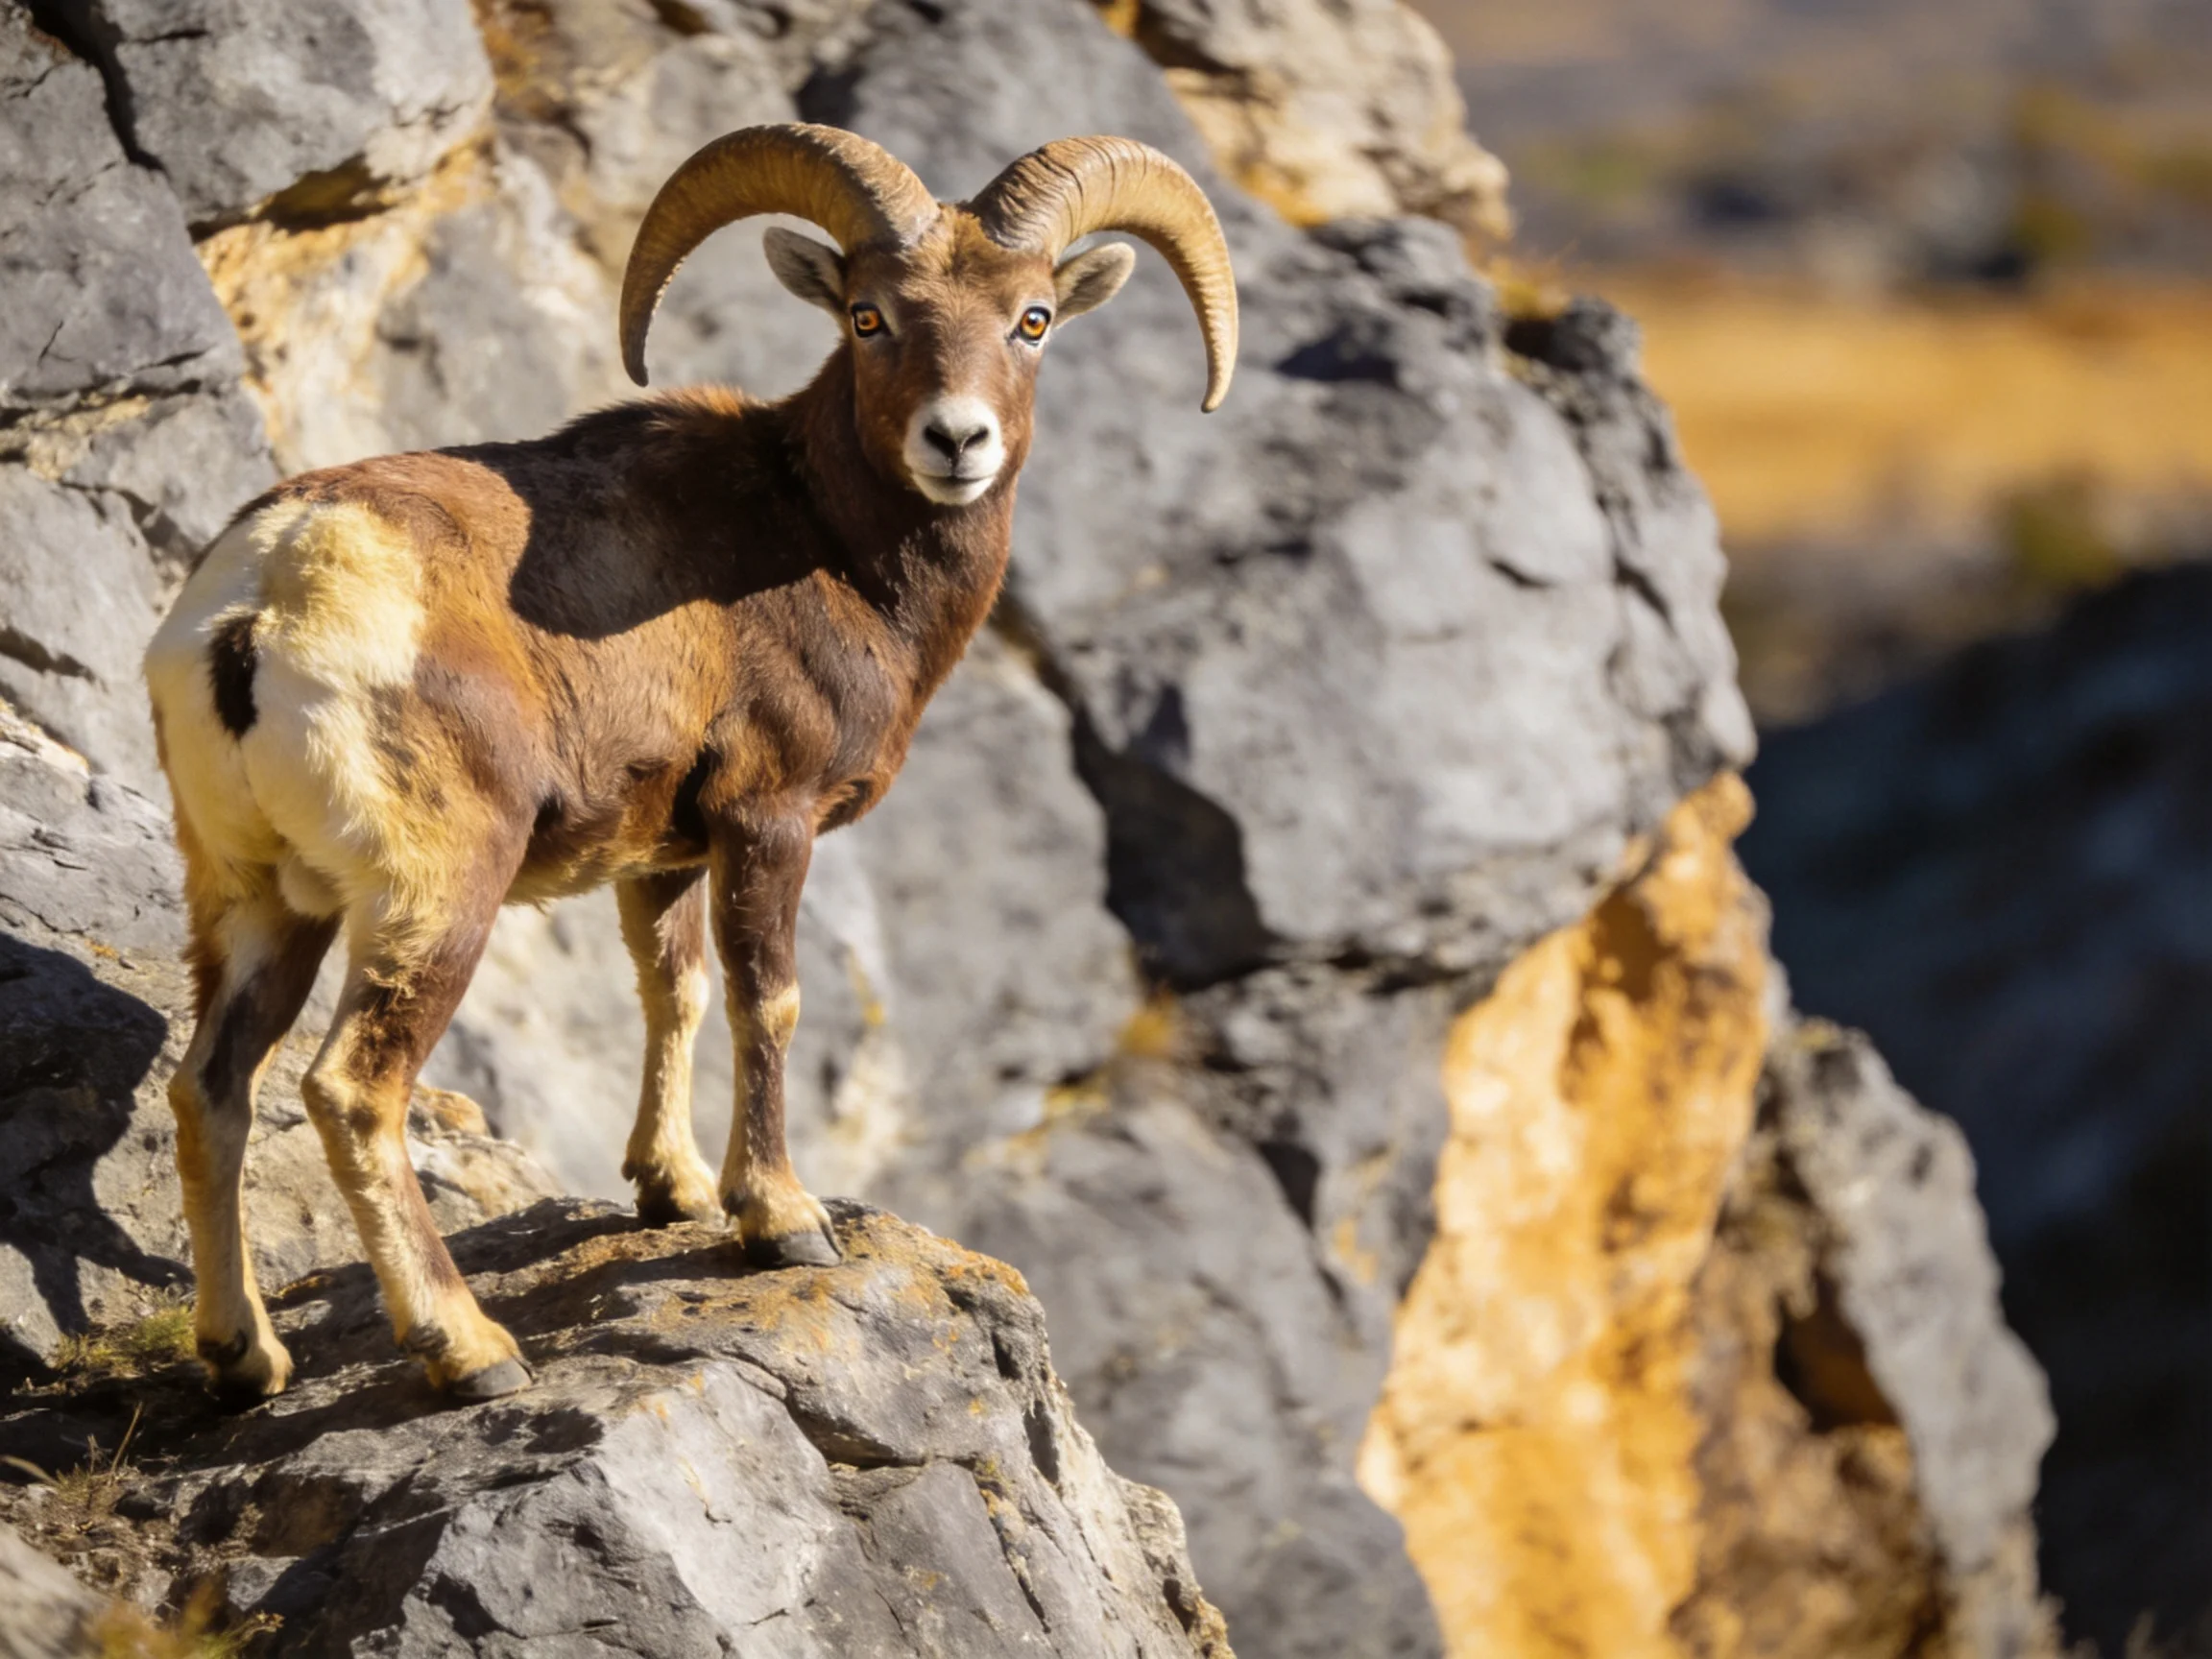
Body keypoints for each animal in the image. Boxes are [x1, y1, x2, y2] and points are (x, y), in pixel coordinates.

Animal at [142, 123, 1237, 1403]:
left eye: (1033, 319)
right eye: (869, 316)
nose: (957, 441)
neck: (826, 542)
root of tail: (261, 609)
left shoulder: (661, 856)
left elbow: (678, 990)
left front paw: (673, 1192)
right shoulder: (769, 821)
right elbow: (770, 1001)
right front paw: (781, 1220)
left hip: (262, 900)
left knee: (212, 1084)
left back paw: (244, 1359)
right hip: (435, 898)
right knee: (351, 1090)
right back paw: (470, 1352)